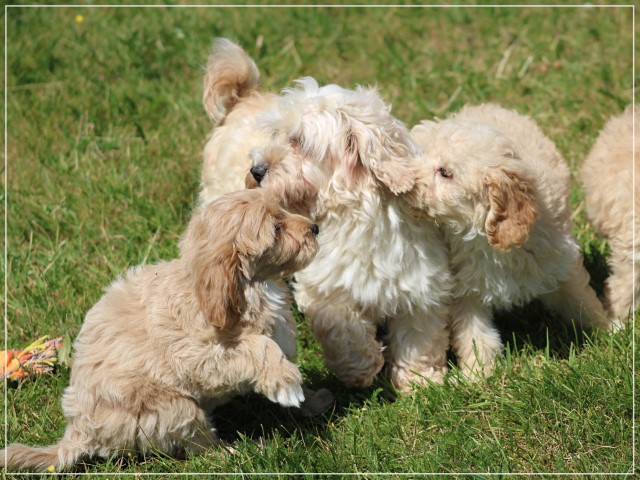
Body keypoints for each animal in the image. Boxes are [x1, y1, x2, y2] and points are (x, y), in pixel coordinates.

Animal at [1, 189, 319, 472]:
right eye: (276, 229)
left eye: (284, 211)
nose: (315, 228)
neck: (253, 288)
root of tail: (78, 430)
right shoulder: (203, 355)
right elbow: (259, 346)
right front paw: (287, 383)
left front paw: (314, 401)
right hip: (173, 408)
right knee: (198, 444)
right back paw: (231, 453)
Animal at [243, 79, 453, 392]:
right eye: (276, 135)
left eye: (299, 141)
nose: (256, 170)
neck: (357, 212)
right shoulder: (326, 290)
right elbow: (344, 330)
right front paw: (362, 368)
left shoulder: (420, 284)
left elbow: (418, 336)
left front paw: (419, 379)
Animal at [409, 103, 614, 379]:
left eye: (445, 173)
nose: (407, 181)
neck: (487, 239)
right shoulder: (468, 288)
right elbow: (475, 335)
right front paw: (477, 376)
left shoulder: (559, 261)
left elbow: (581, 300)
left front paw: (610, 332)